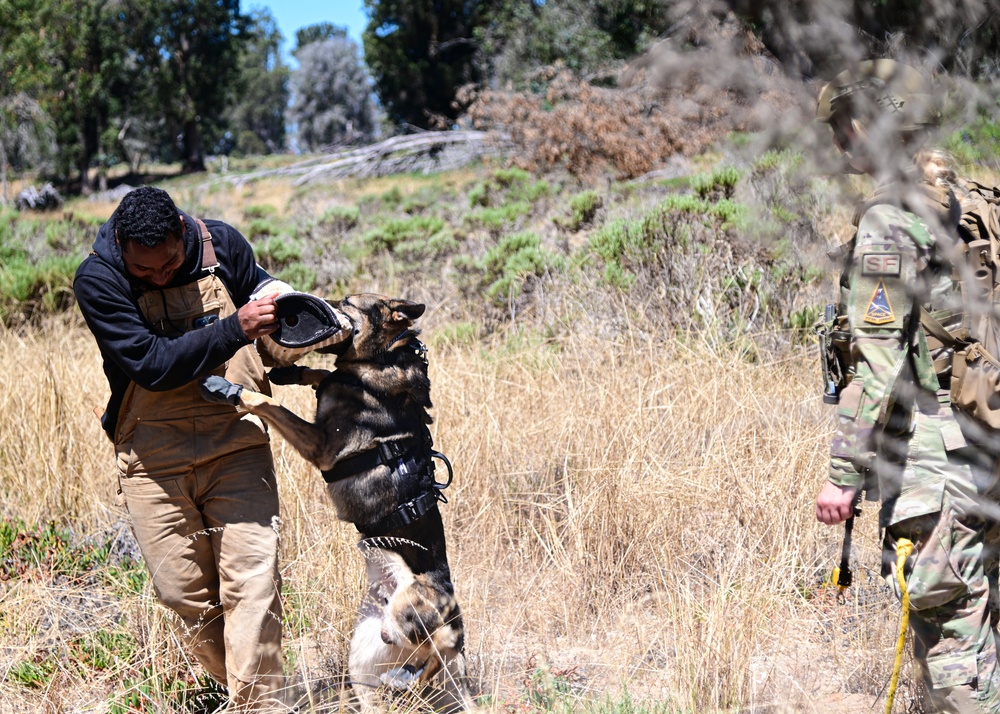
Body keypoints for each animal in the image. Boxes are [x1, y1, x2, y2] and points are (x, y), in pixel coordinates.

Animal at [201, 292, 474, 708]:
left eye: (347, 302)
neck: (380, 359)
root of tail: (453, 637)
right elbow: (322, 376)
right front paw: (294, 373)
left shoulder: (320, 447)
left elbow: (268, 403)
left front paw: (230, 389)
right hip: (367, 645)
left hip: (399, 626)